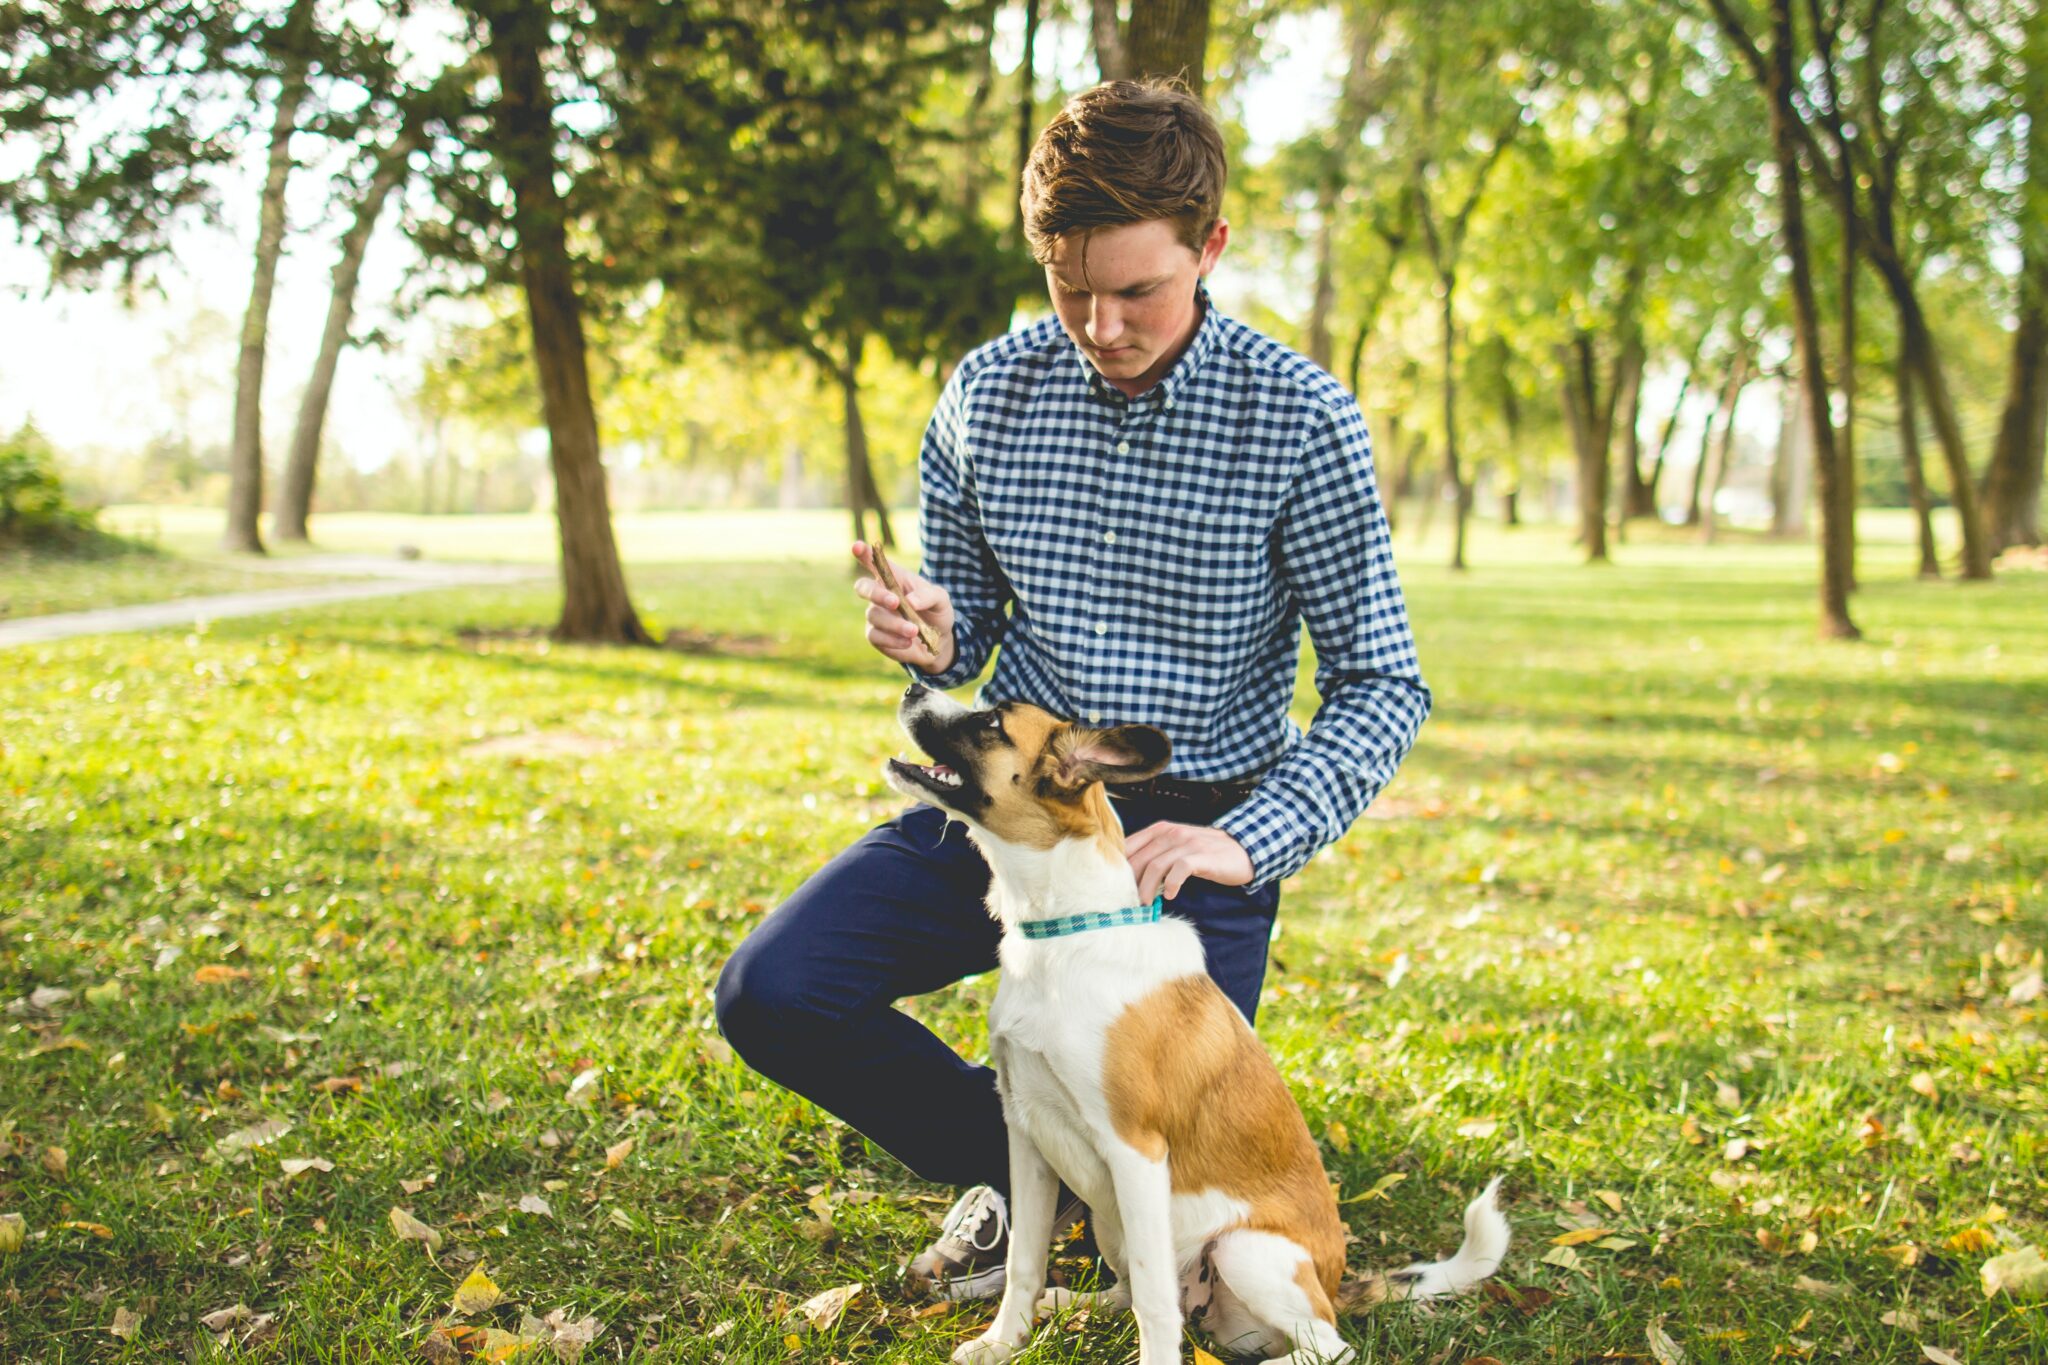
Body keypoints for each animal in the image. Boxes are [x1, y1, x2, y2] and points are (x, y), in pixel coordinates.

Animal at [880, 683, 1507, 1365]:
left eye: (992, 721)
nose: (912, 686)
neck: (1064, 937)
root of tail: (1336, 1286)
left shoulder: (1135, 1152)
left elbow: (1156, 1303)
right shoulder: (1027, 1135)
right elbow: (1026, 1260)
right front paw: (1003, 1341)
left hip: (1244, 1250)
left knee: (1324, 1346)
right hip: (1114, 1222)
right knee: (1135, 1291)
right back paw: (1071, 1303)